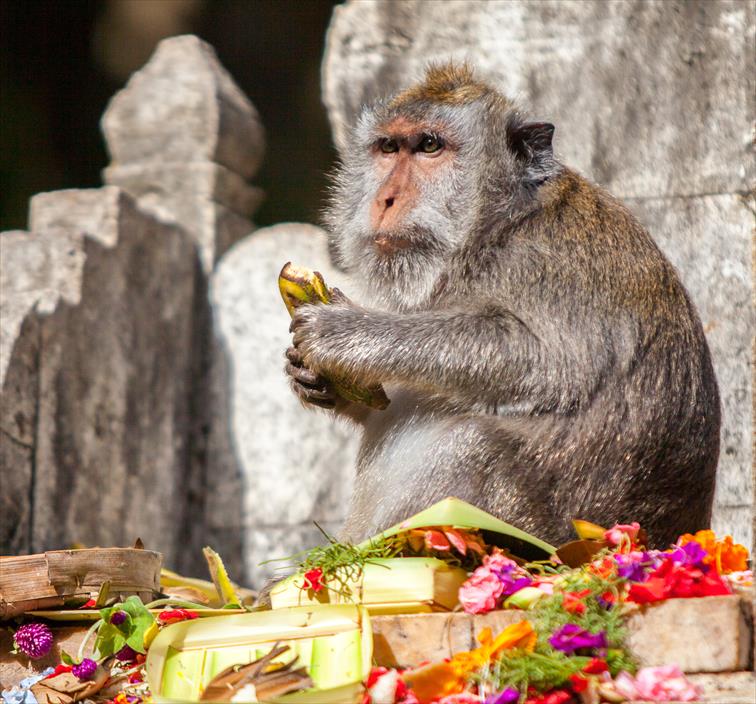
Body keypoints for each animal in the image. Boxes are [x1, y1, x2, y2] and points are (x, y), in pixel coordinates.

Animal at [284, 63, 720, 552]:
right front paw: (317, 378)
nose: (385, 199)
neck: (496, 226)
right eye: (389, 148)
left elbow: (549, 362)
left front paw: (346, 333)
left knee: (474, 443)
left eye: (429, 146)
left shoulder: (544, 264)